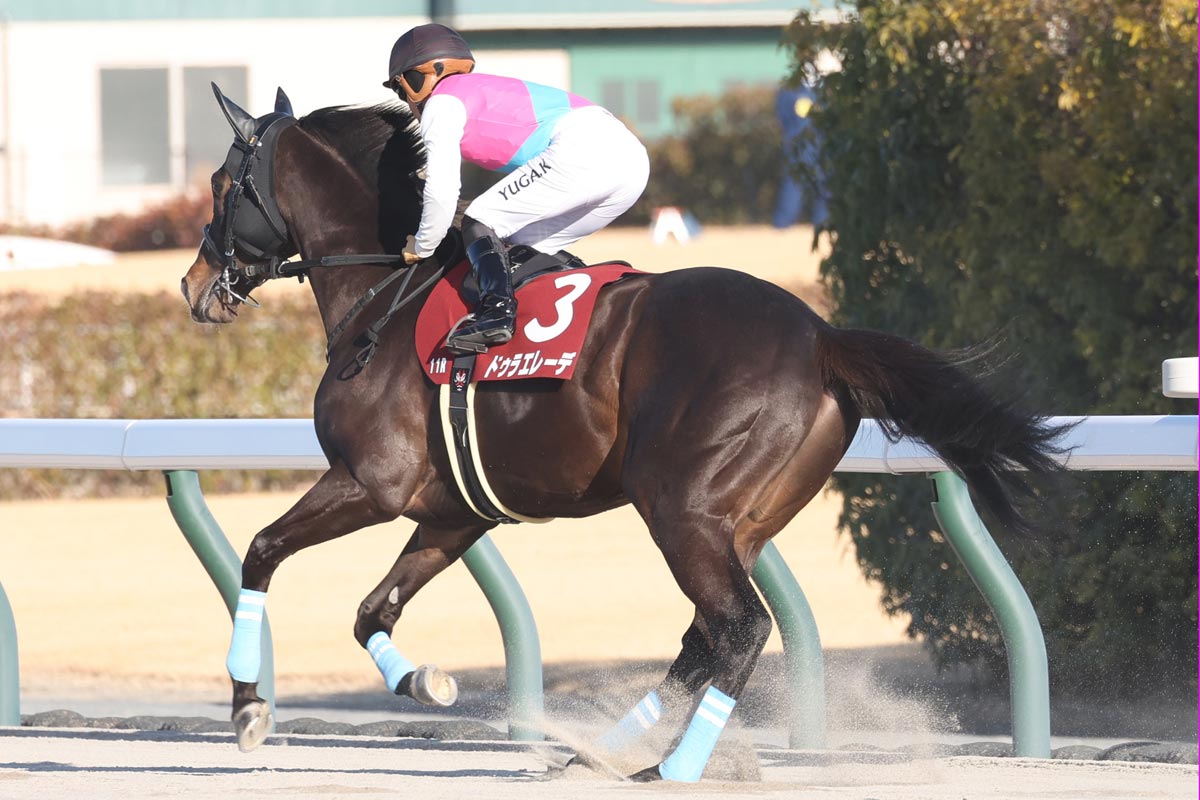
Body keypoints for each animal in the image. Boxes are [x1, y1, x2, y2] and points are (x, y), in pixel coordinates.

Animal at [182, 85, 1065, 782]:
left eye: (223, 185)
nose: (193, 286)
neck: (385, 298)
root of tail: (820, 337)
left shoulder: (374, 482)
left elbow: (261, 552)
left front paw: (247, 710)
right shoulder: (453, 512)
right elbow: (373, 610)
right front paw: (423, 683)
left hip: (682, 507)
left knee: (738, 629)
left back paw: (670, 767)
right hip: (740, 520)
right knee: (704, 637)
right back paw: (608, 752)